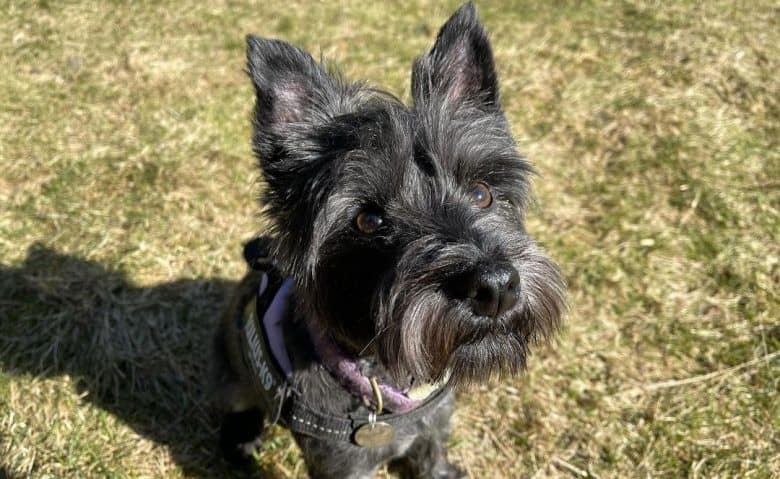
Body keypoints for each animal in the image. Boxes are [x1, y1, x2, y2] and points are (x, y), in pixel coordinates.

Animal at [215, 1, 568, 478]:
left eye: (482, 192)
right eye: (368, 220)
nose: (495, 287)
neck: (391, 383)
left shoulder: (435, 425)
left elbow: (431, 457)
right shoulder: (343, 465)